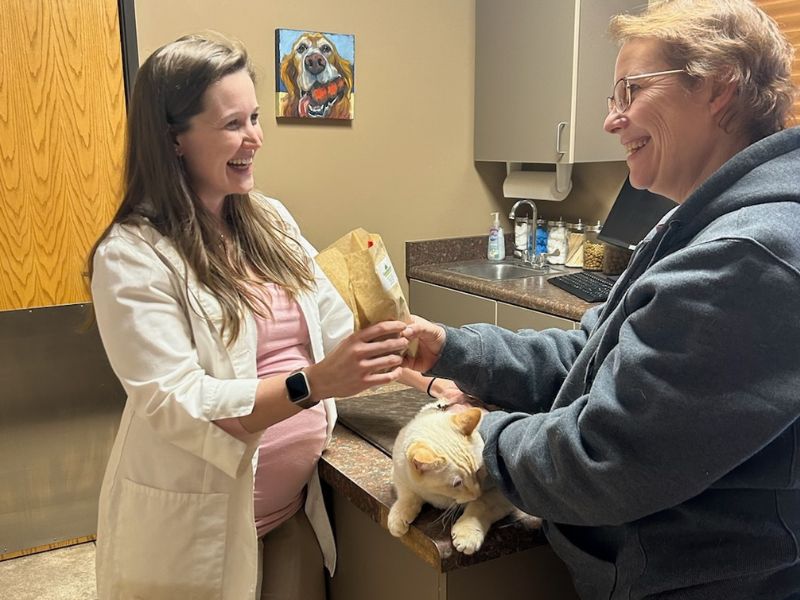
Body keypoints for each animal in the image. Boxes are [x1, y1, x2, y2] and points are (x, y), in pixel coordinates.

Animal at [388, 400, 524, 556]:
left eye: (478, 470)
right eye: (457, 483)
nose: (477, 493)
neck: (440, 496)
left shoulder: (503, 493)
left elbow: (480, 504)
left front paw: (467, 533)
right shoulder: (399, 475)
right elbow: (407, 497)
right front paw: (398, 517)